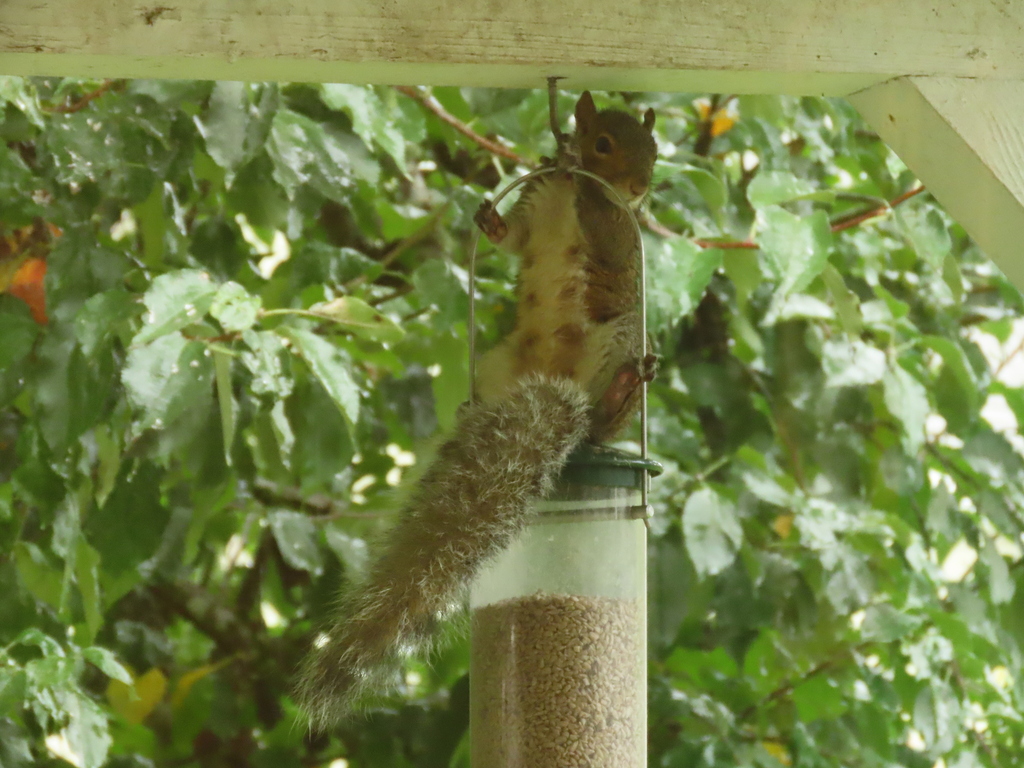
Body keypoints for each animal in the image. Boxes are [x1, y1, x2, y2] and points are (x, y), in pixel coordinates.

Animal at [296, 91, 658, 728]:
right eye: (604, 142)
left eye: (653, 153)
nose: (638, 187)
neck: (572, 196)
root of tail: (563, 392)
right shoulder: (538, 207)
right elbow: (513, 238)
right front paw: (495, 214)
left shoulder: (617, 230)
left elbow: (613, 239)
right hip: (496, 360)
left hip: (620, 337)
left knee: (605, 419)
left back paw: (615, 397)